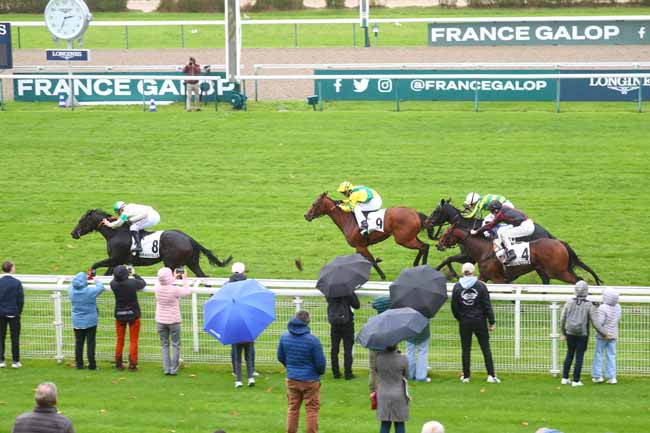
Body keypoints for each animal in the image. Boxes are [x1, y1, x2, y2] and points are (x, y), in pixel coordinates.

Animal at [70, 209, 232, 276]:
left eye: (81, 220)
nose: (73, 233)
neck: (115, 233)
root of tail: (189, 238)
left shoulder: (115, 259)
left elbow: (96, 265)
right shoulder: (116, 262)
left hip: (171, 263)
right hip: (191, 262)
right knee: (203, 277)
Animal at [436, 224, 604, 286]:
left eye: (445, 234)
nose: (438, 244)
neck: (483, 250)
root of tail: (559, 242)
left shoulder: (498, 279)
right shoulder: (485, 276)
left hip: (557, 271)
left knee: (579, 280)